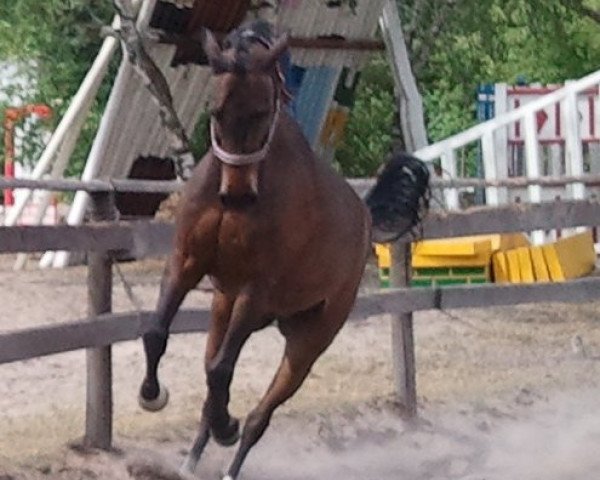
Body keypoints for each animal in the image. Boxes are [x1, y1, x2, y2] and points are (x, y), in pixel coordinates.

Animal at [138, 20, 428, 478]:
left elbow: (221, 372)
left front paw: (226, 425)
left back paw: (230, 448)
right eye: (216, 111)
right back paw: (194, 455)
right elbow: (157, 334)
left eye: (261, 111)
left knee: (259, 412)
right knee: (212, 372)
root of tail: (364, 215)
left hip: (309, 338)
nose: (238, 197)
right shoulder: (186, 264)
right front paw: (152, 395)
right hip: (230, 308)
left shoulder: (257, 290)